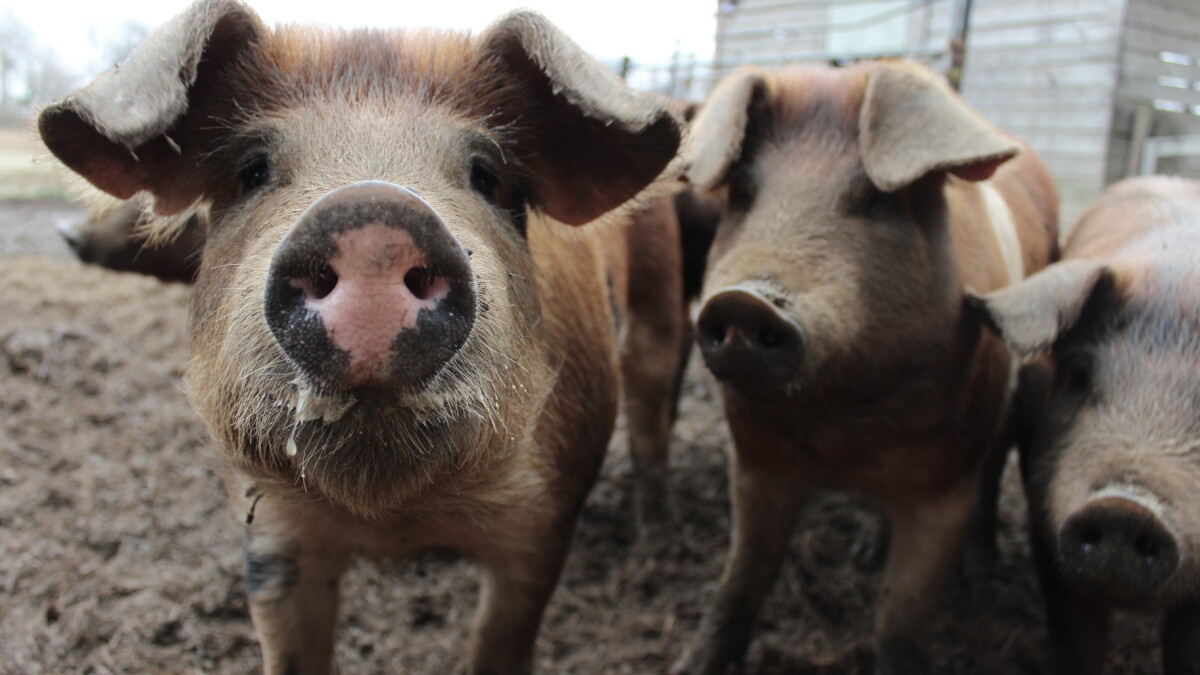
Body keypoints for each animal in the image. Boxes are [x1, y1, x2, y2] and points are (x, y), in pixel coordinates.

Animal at [672, 60, 1059, 674]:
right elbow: (742, 578)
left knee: (994, 476)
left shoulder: (946, 487)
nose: (744, 303)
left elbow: (898, 618)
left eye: (877, 199)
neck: (843, 434)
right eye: (745, 192)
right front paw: (688, 665)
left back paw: (980, 581)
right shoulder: (755, 460)